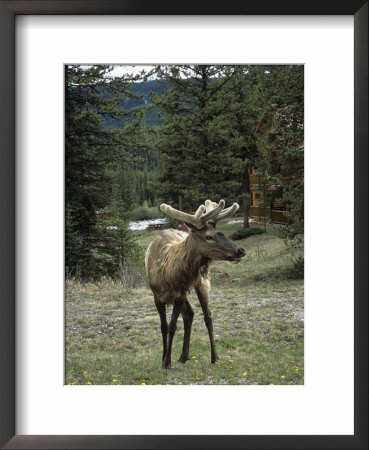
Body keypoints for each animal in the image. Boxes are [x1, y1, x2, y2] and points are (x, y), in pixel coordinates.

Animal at [145, 200, 246, 370]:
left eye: (221, 232)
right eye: (209, 236)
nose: (241, 250)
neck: (168, 275)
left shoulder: (179, 295)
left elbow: (172, 326)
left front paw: (167, 361)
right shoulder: (157, 296)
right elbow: (164, 327)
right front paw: (164, 359)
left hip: (202, 282)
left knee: (207, 316)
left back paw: (214, 357)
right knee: (190, 313)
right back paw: (183, 356)